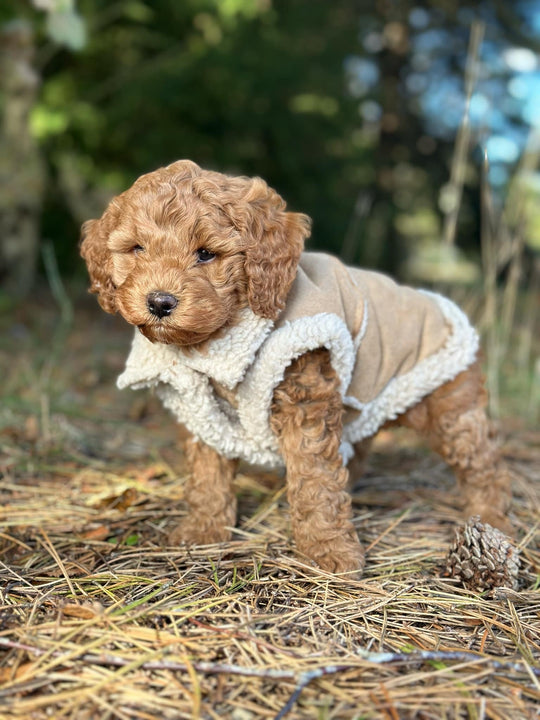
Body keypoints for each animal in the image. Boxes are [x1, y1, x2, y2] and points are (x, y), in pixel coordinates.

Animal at [82, 159, 512, 572]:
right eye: (137, 249)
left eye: (205, 253)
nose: (159, 302)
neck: (222, 339)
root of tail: (443, 307)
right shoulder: (200, 404)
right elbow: (207, 471)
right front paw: (203, 529)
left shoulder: (304, 397)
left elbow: (316, 478)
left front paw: (328, 551)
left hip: (450, 405)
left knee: (482, 463)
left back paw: (492, 520)